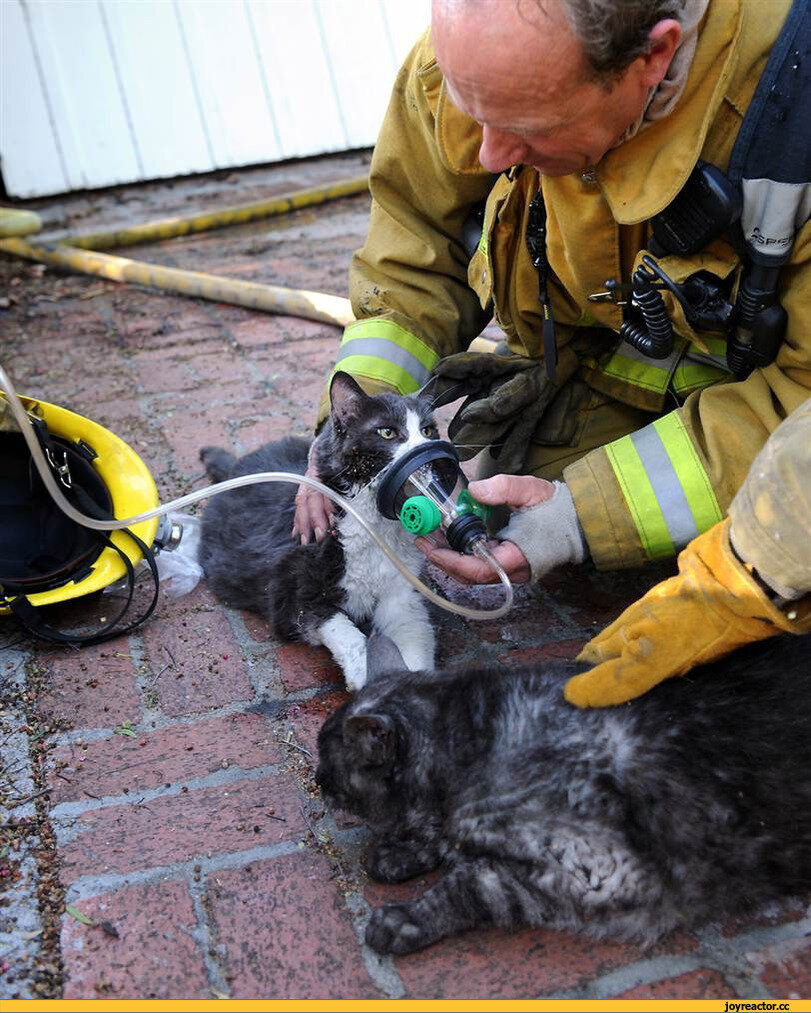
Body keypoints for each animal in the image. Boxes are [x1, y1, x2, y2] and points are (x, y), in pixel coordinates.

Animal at [197, 372, 437, 688]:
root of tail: (236, 466)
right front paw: (367, 677)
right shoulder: (290, 593)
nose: (428, 452)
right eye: (387, 432)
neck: (375, 526)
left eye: (428, 430)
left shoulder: (403, 597)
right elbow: (344, 630)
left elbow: (415, 640)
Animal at [315, 636, 809, 952]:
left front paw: (406, 920)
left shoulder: (600, 872)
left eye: (327, 759)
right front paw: (403, 851)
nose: (317, 779)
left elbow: (472, 883)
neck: (472, 746)